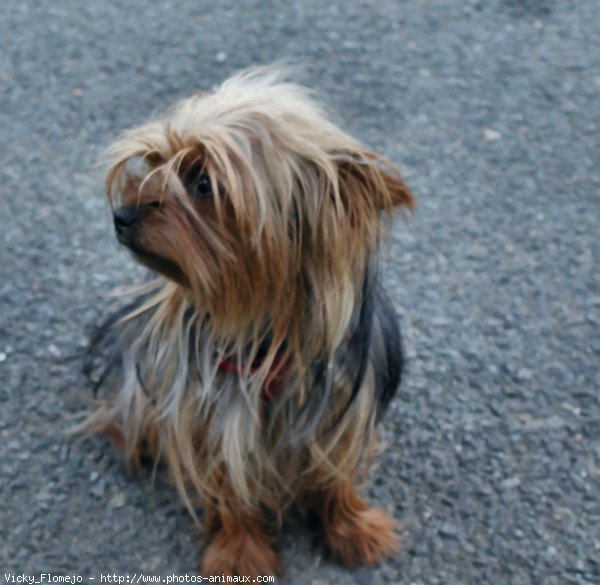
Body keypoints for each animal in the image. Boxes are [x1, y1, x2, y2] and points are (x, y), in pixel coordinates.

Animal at [83, 67, 412, 576]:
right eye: (153, 163)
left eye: (203, 183)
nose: (121, 215)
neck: (265, 320)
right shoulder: (212, 408)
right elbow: (229, 480)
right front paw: (239, 553)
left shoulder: (343, 403)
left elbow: (335, 469)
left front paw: (352, 527)